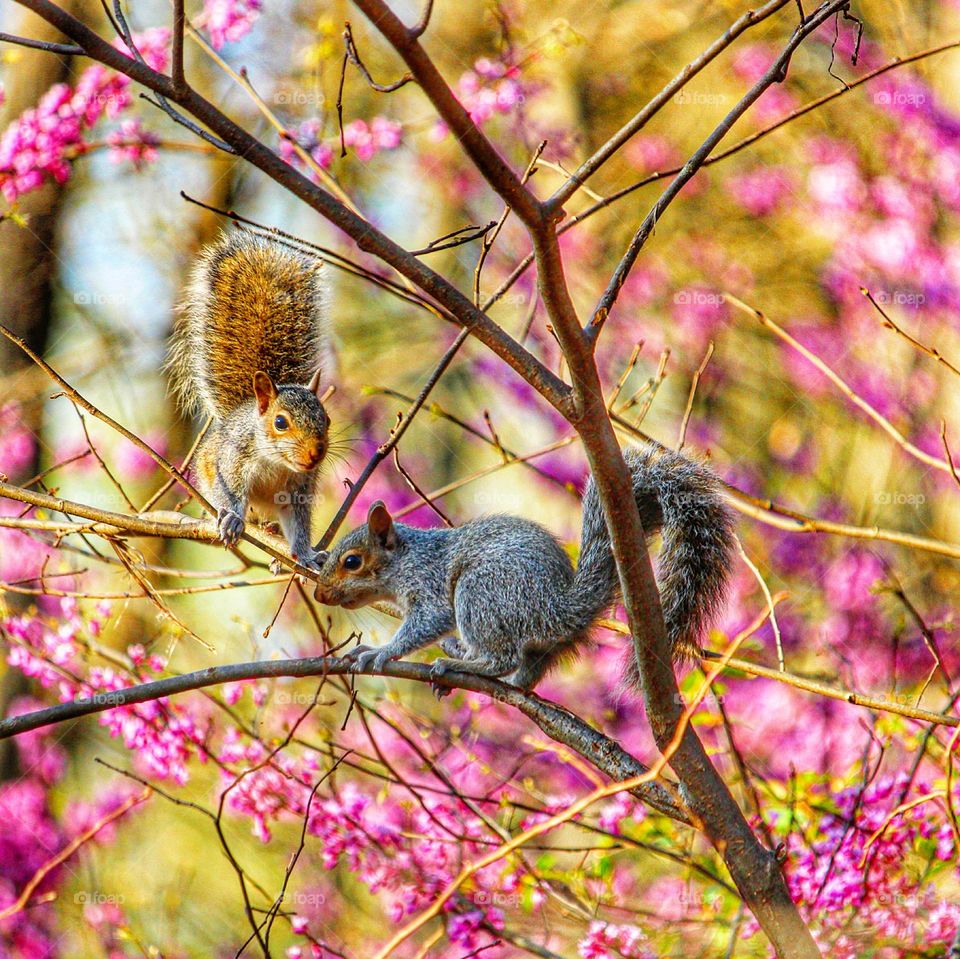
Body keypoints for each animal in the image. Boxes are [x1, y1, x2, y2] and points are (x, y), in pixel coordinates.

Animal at [172, 229, 334, 568]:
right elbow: (229, 493)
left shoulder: (299, 489)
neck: (276, 463)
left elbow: (299, 525)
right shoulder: (231, 462)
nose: (315, 454)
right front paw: (233, 519)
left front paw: (306, 556)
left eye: (327, 420)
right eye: (280, 422)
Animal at [312, 442, 732, 688]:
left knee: (504, 658)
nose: (319, 594)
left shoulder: (429, 584)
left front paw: (380, 652)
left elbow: (427, 621)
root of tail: (558, 609)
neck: (407, 557)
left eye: (352, 562)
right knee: (526, 672)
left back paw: (465, 665)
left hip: (480, 592)